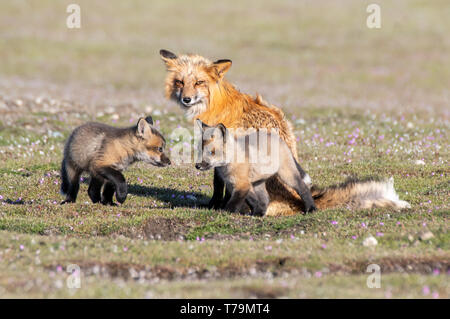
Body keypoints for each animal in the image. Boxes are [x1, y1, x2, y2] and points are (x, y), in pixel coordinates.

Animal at [160, 49, 410, 215]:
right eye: (180, 82)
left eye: (199, 82)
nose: (186, 99)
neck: (218, 105)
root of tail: (295, 201)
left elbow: (218, 185)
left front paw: (215, 206)